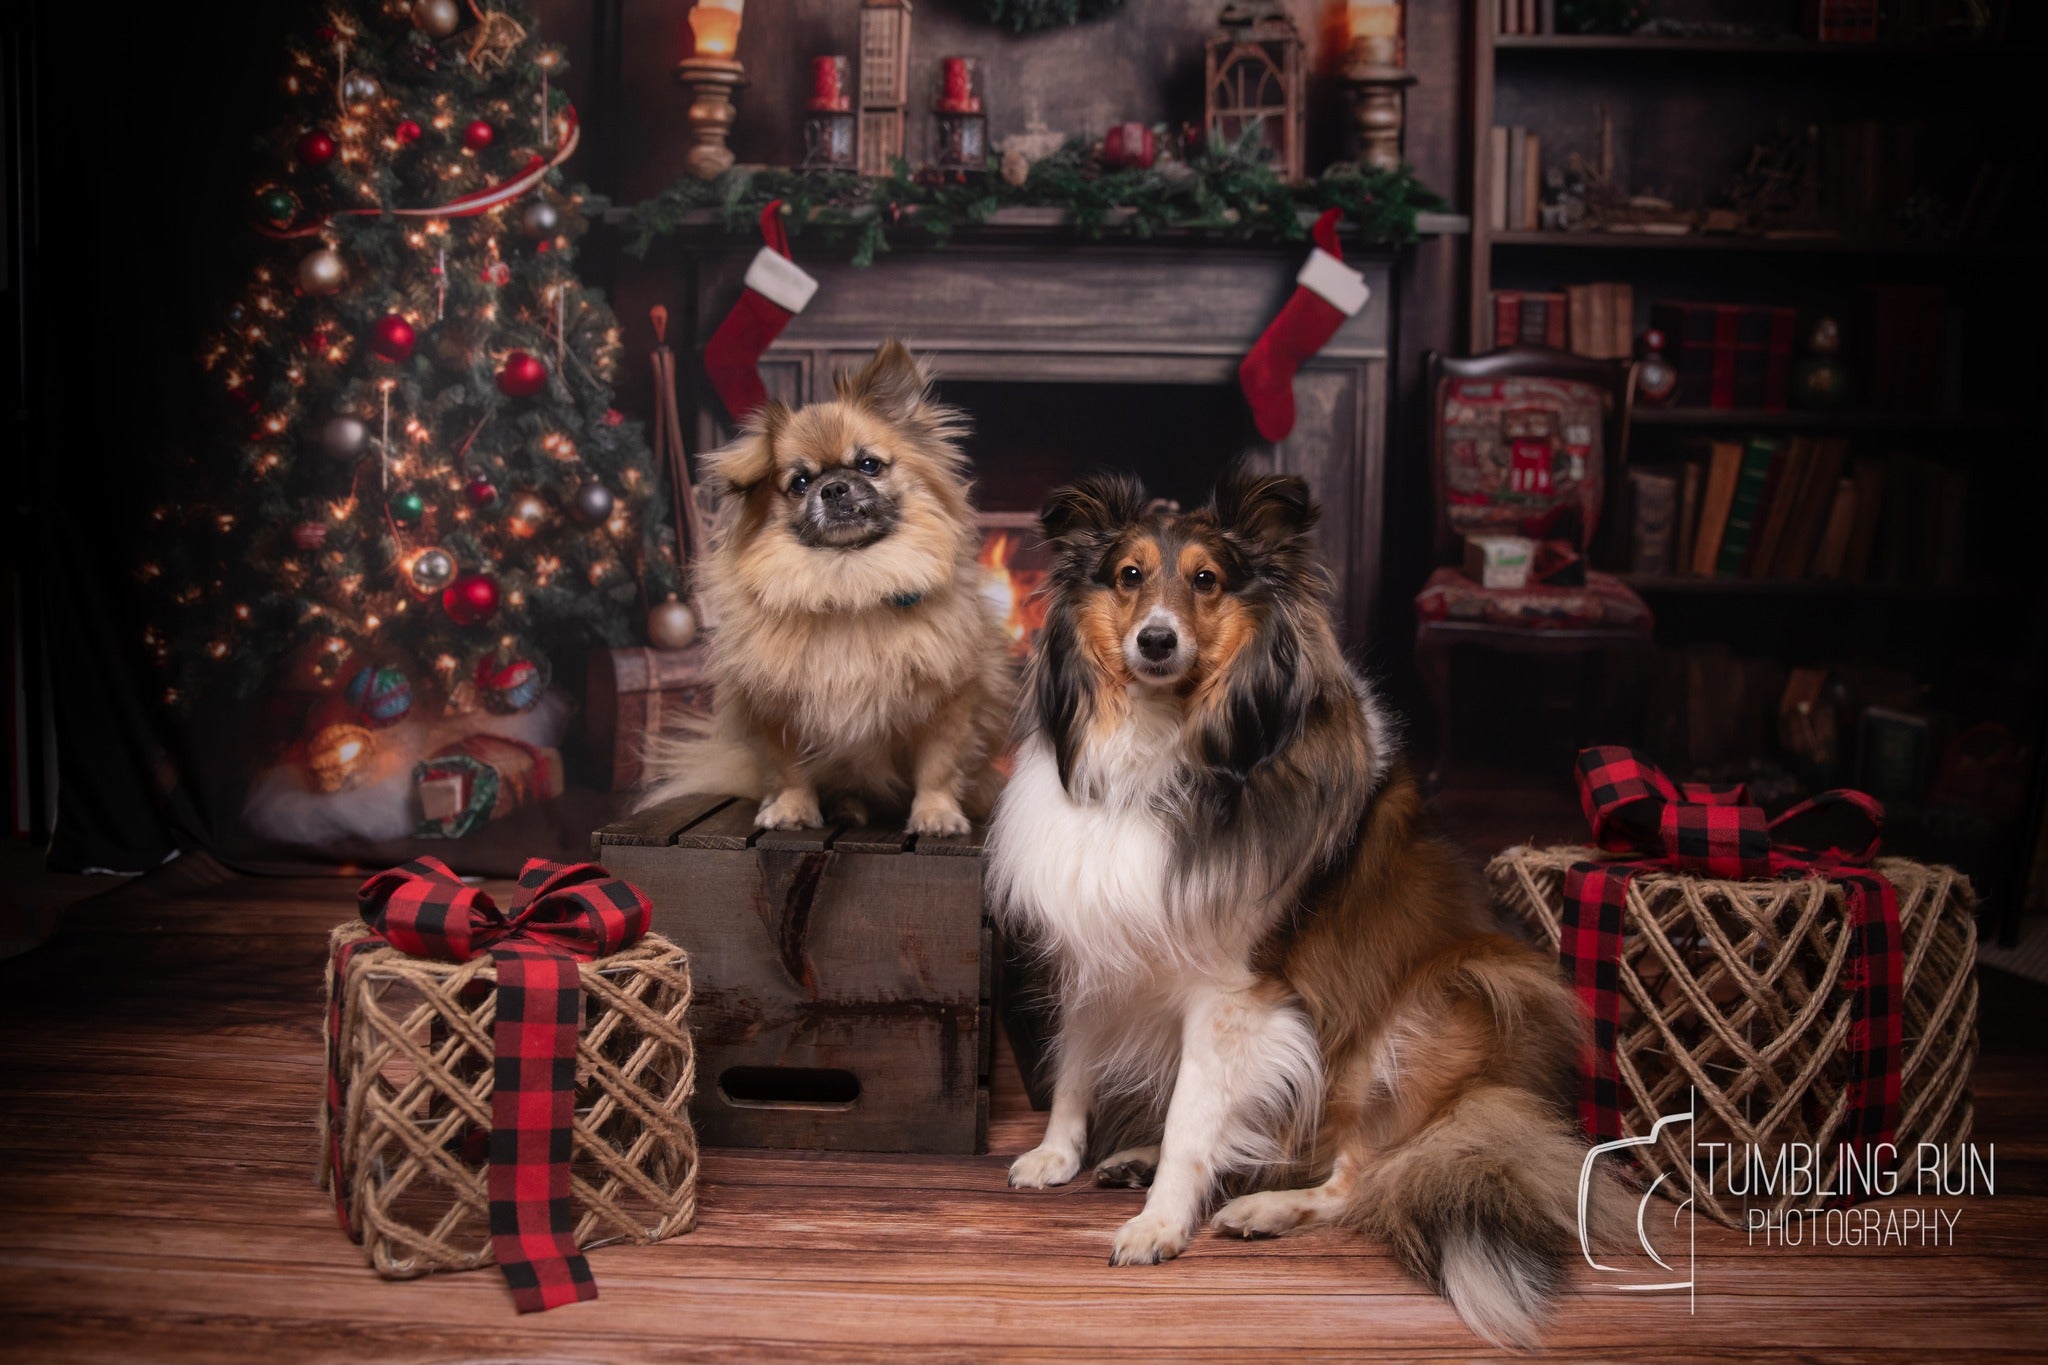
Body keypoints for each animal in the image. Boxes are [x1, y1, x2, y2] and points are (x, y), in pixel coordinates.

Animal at [638, 341, 1015, 834]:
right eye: (799, 482)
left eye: (869, 465)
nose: (833, 488)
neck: (848, 580)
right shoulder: (778, 710)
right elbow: (790, 769)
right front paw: (792, 810)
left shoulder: (948, 705)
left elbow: (938, 766)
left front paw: (935, 814)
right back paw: (846, 806)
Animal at [987, 470, 1613, 1342]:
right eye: (1129, 575)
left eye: (1207, 580)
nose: (1156, 641)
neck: (1163, 743)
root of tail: (1508, 1097)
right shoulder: (1103, 935)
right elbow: (1079, 1059)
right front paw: (1060, 1152)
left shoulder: (1232, 994)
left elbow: (1193, 1118)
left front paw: (1161, 1221)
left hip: (1446, 1003)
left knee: (1366, 1173)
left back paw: (1265, 1208)